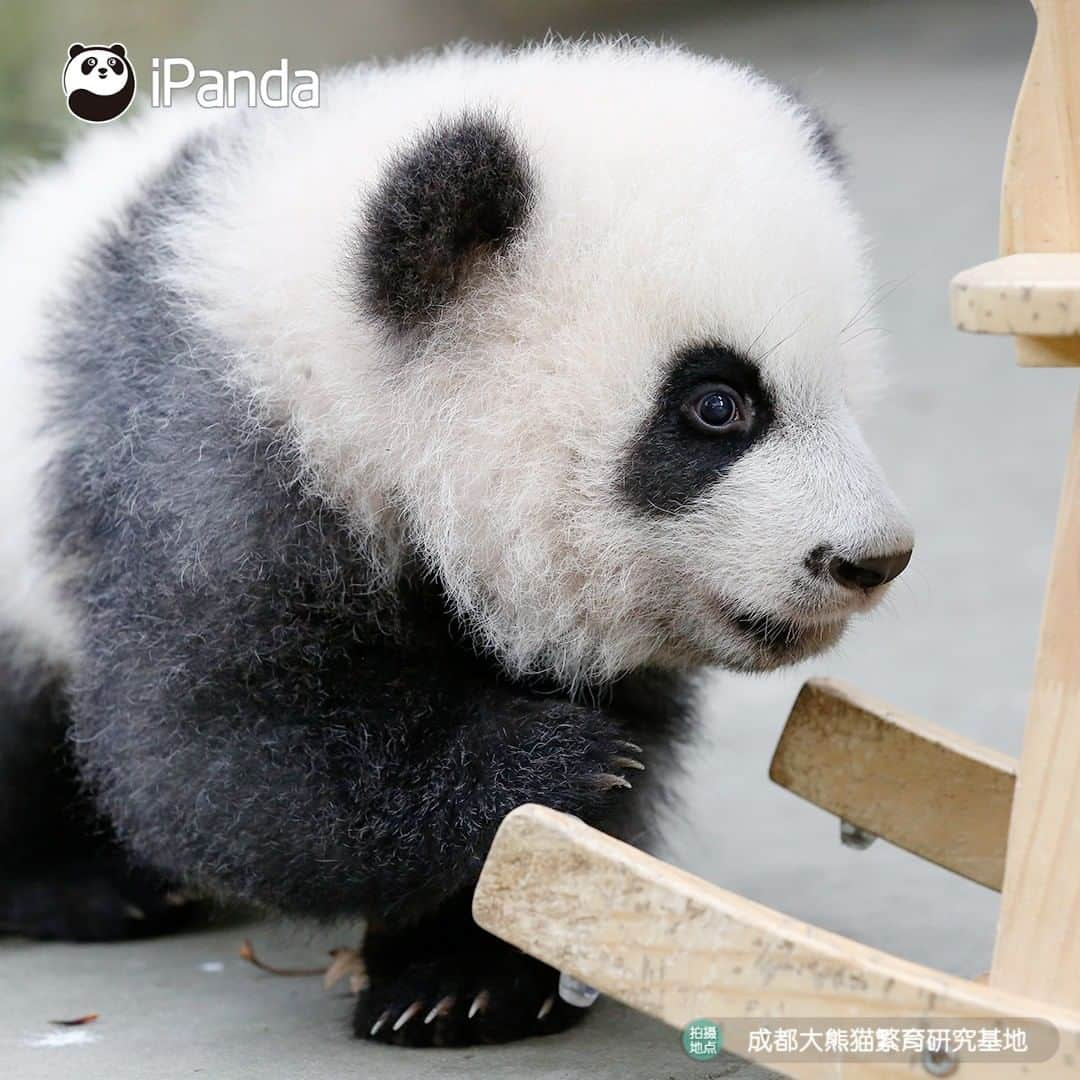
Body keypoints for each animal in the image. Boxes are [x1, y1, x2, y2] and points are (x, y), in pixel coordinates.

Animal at [0, 42, 911, 1045]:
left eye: (842, 389)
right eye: (718, 404)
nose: (871, 560)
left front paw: (468, 975)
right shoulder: (206, 464)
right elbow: (214, 744)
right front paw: (555, 764)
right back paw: (83, 887)